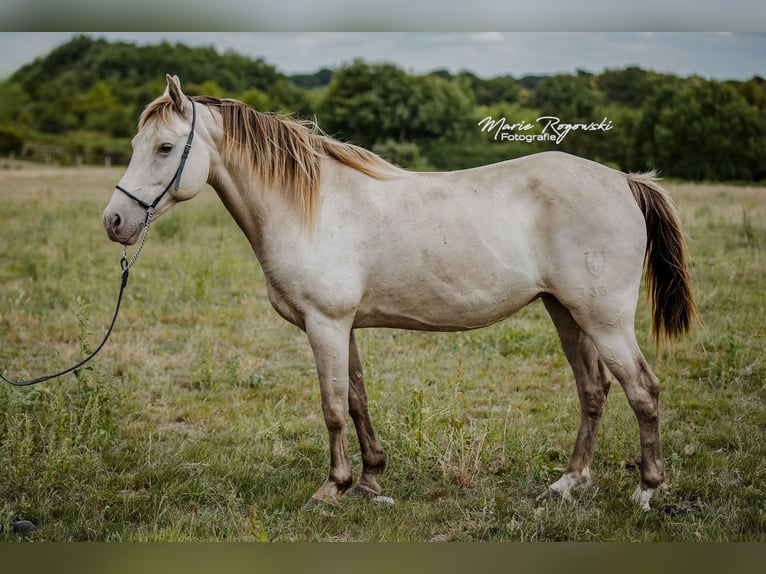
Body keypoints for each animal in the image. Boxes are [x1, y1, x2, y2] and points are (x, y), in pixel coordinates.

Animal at [103, 75, 696, 511]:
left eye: (164, 147)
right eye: (134, 145)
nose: (115, 222)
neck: (310, 207)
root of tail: (624, 181)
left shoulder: (325, 324)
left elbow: (332, 406)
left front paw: (332, 488)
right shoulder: (343, 327)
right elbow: (358, 399)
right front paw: (370, 479)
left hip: (604, 320)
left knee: (643, 390)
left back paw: (648, 490)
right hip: (567, 312)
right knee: (593, 391)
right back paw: (568, 484)